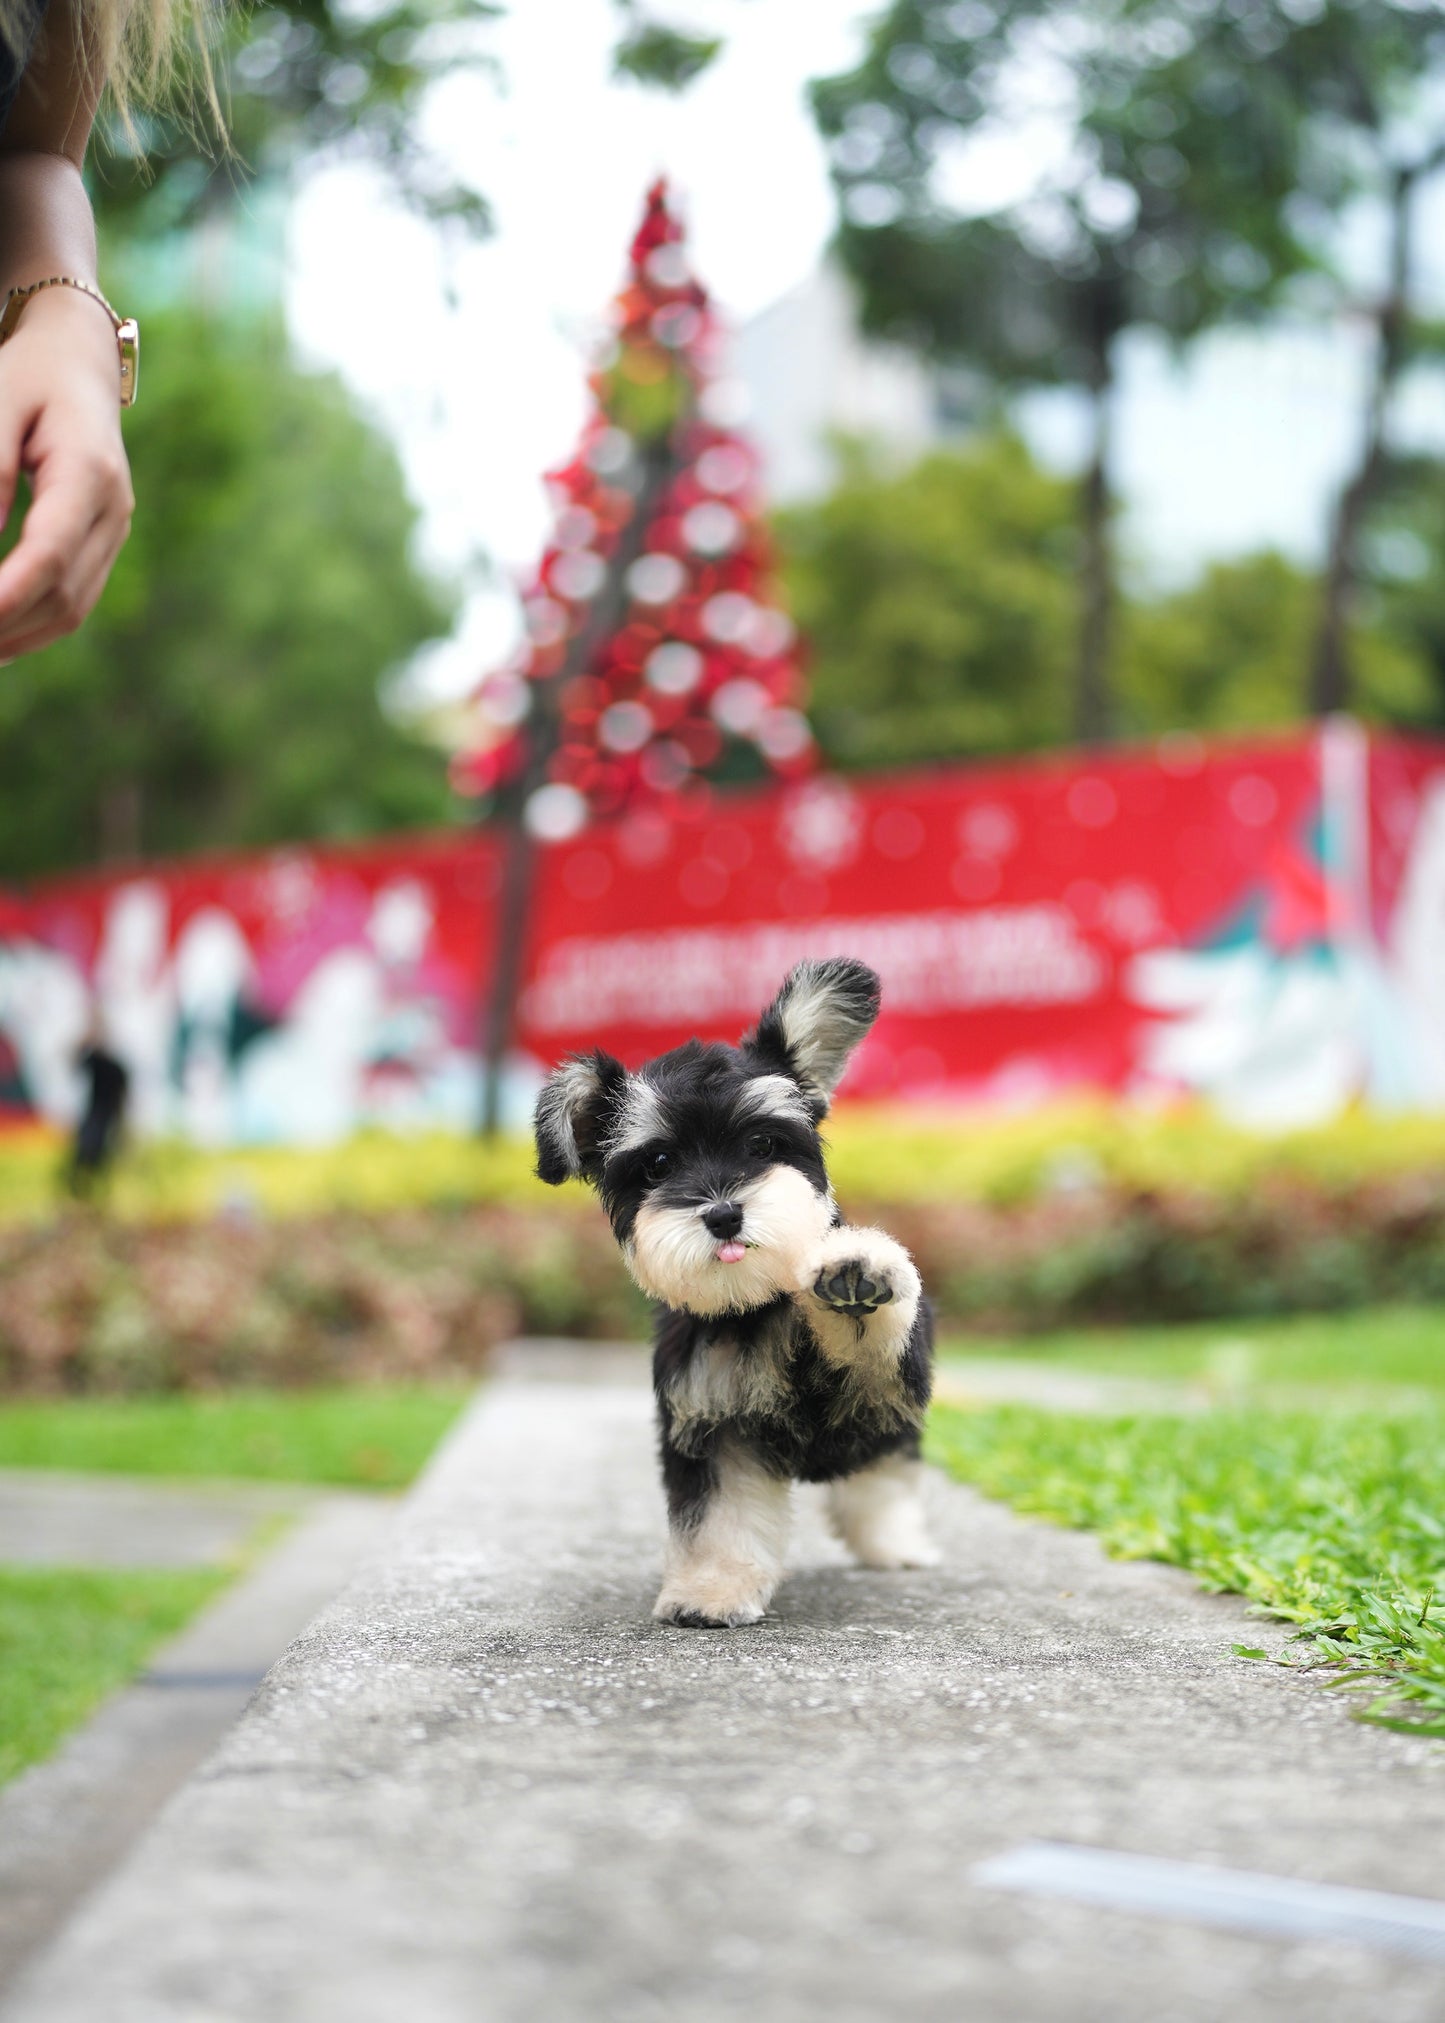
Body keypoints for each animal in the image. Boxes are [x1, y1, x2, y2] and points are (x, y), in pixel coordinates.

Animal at [530, 954, 934, 1634]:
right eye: (659, 1164)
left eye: (762, 1144)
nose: (722, 1215)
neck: (757, 1304)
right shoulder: (712, 1422)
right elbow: (718, 1521)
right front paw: (712, 1591)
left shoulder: (877, 1386)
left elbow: (867, 1345)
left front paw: (854, 1273)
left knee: (883, 1471)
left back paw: (896, 1541)